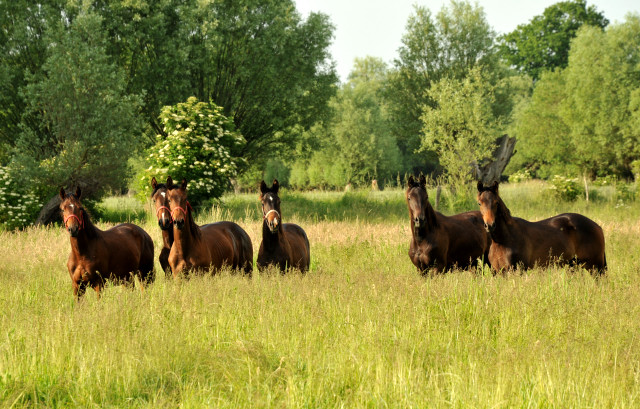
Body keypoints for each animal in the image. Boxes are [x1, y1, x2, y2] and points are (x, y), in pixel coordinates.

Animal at [478, 180, 608, 272]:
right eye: (479, 203)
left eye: (496, 203)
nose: (490, 225)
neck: (504, 240)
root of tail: (597, 226)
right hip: (574, 265)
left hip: (595, 266)